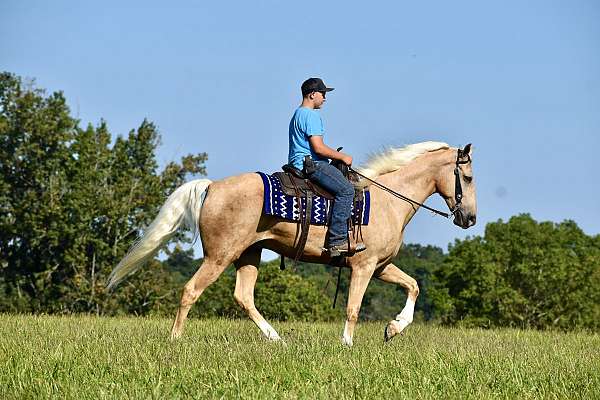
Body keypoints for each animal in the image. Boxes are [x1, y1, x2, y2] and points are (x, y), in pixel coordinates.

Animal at [105, 142, 476, 346]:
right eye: (468, 177)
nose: (470, 218)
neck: (389, 199)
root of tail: (212, 186)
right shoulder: (363, 266)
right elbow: (353, 308)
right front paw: (346, 345)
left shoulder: (381, 266)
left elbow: (413, 286)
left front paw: (393, 328)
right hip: (219, 256)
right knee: (190, 291)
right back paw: (175, 339)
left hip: (249, 254)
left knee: (243, 297)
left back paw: (276, 338)